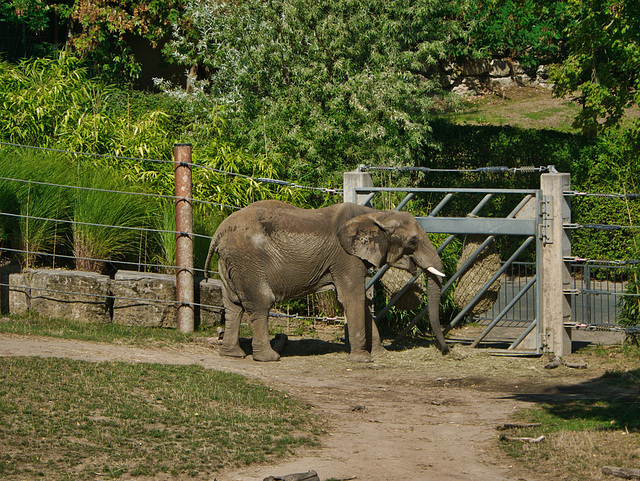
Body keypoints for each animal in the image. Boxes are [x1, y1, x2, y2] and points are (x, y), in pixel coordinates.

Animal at [202, 199, 448, 360]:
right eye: (413, 242)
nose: (445, 351)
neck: (376, 214)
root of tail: (218, 232)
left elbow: (359, 301)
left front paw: (380, 354)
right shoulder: (346, 257)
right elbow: (352, 297)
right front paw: (362, 360)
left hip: (230, 262)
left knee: (233, 305)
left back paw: (232, 354)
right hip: (248, 261)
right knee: (260, 304)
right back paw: (269, 357)